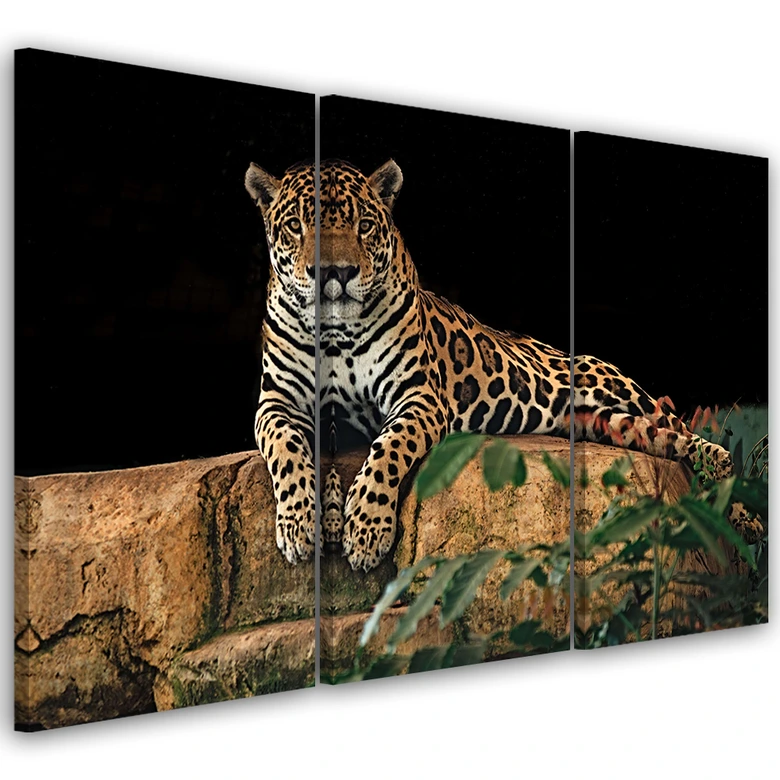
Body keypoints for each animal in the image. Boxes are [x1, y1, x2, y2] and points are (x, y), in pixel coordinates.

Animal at [247, 158, 758, 572]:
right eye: (295, 225)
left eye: (365, 226)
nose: (334, 273)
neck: (337, 334)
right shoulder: (276, 402)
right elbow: (286, 448)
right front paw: (299, 524)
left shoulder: (418, 397)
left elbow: (388, 451)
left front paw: (366, 529)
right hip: (610, 424)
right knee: (673, 443)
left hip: (618, 387)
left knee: (694, 436)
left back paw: (745, 518)